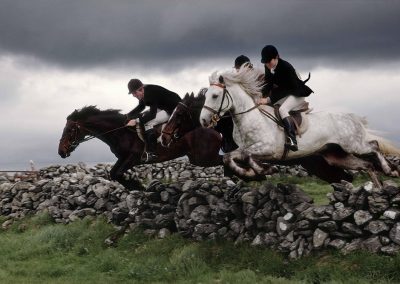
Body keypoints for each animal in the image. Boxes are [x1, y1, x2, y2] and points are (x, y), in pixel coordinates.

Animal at [58, 105, 223, 190]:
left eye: (70, 130)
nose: (61, 151)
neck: (120, 131)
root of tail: (213, 129)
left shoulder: (133, 158)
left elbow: (117, 174)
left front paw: (137, 185)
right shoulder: (122, 158)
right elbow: (113, 173)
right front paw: (134, 185)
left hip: (204, 157)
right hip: (197, 158)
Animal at [200, 67, 400, 185]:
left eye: (215, 96)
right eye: (206, 95)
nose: (203, 121)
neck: (250, 118)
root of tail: (351, 117)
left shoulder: (267, 148)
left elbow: (247, 156)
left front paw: (264, 170)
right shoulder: (244, 149)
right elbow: (230, 158)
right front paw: (253, 172)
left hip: (353, 145)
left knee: (374, 146)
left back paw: (390, 171)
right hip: (336, 155)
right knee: (367, 165)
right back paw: (377, 189)